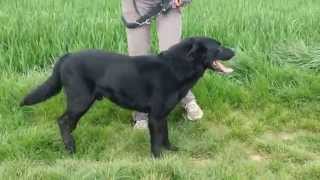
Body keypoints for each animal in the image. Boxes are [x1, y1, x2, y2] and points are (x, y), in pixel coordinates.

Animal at [20, 37, 235, 158]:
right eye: (218, 47)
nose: (234, 51)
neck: (176, 66)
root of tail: (67, 56)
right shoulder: (155, 116)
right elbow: (156, 141)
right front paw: (159, 159)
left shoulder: (161, 115)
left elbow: (165, 136)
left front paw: (171, 151)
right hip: (80, 100)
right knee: (63, 121)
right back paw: (71, 148)